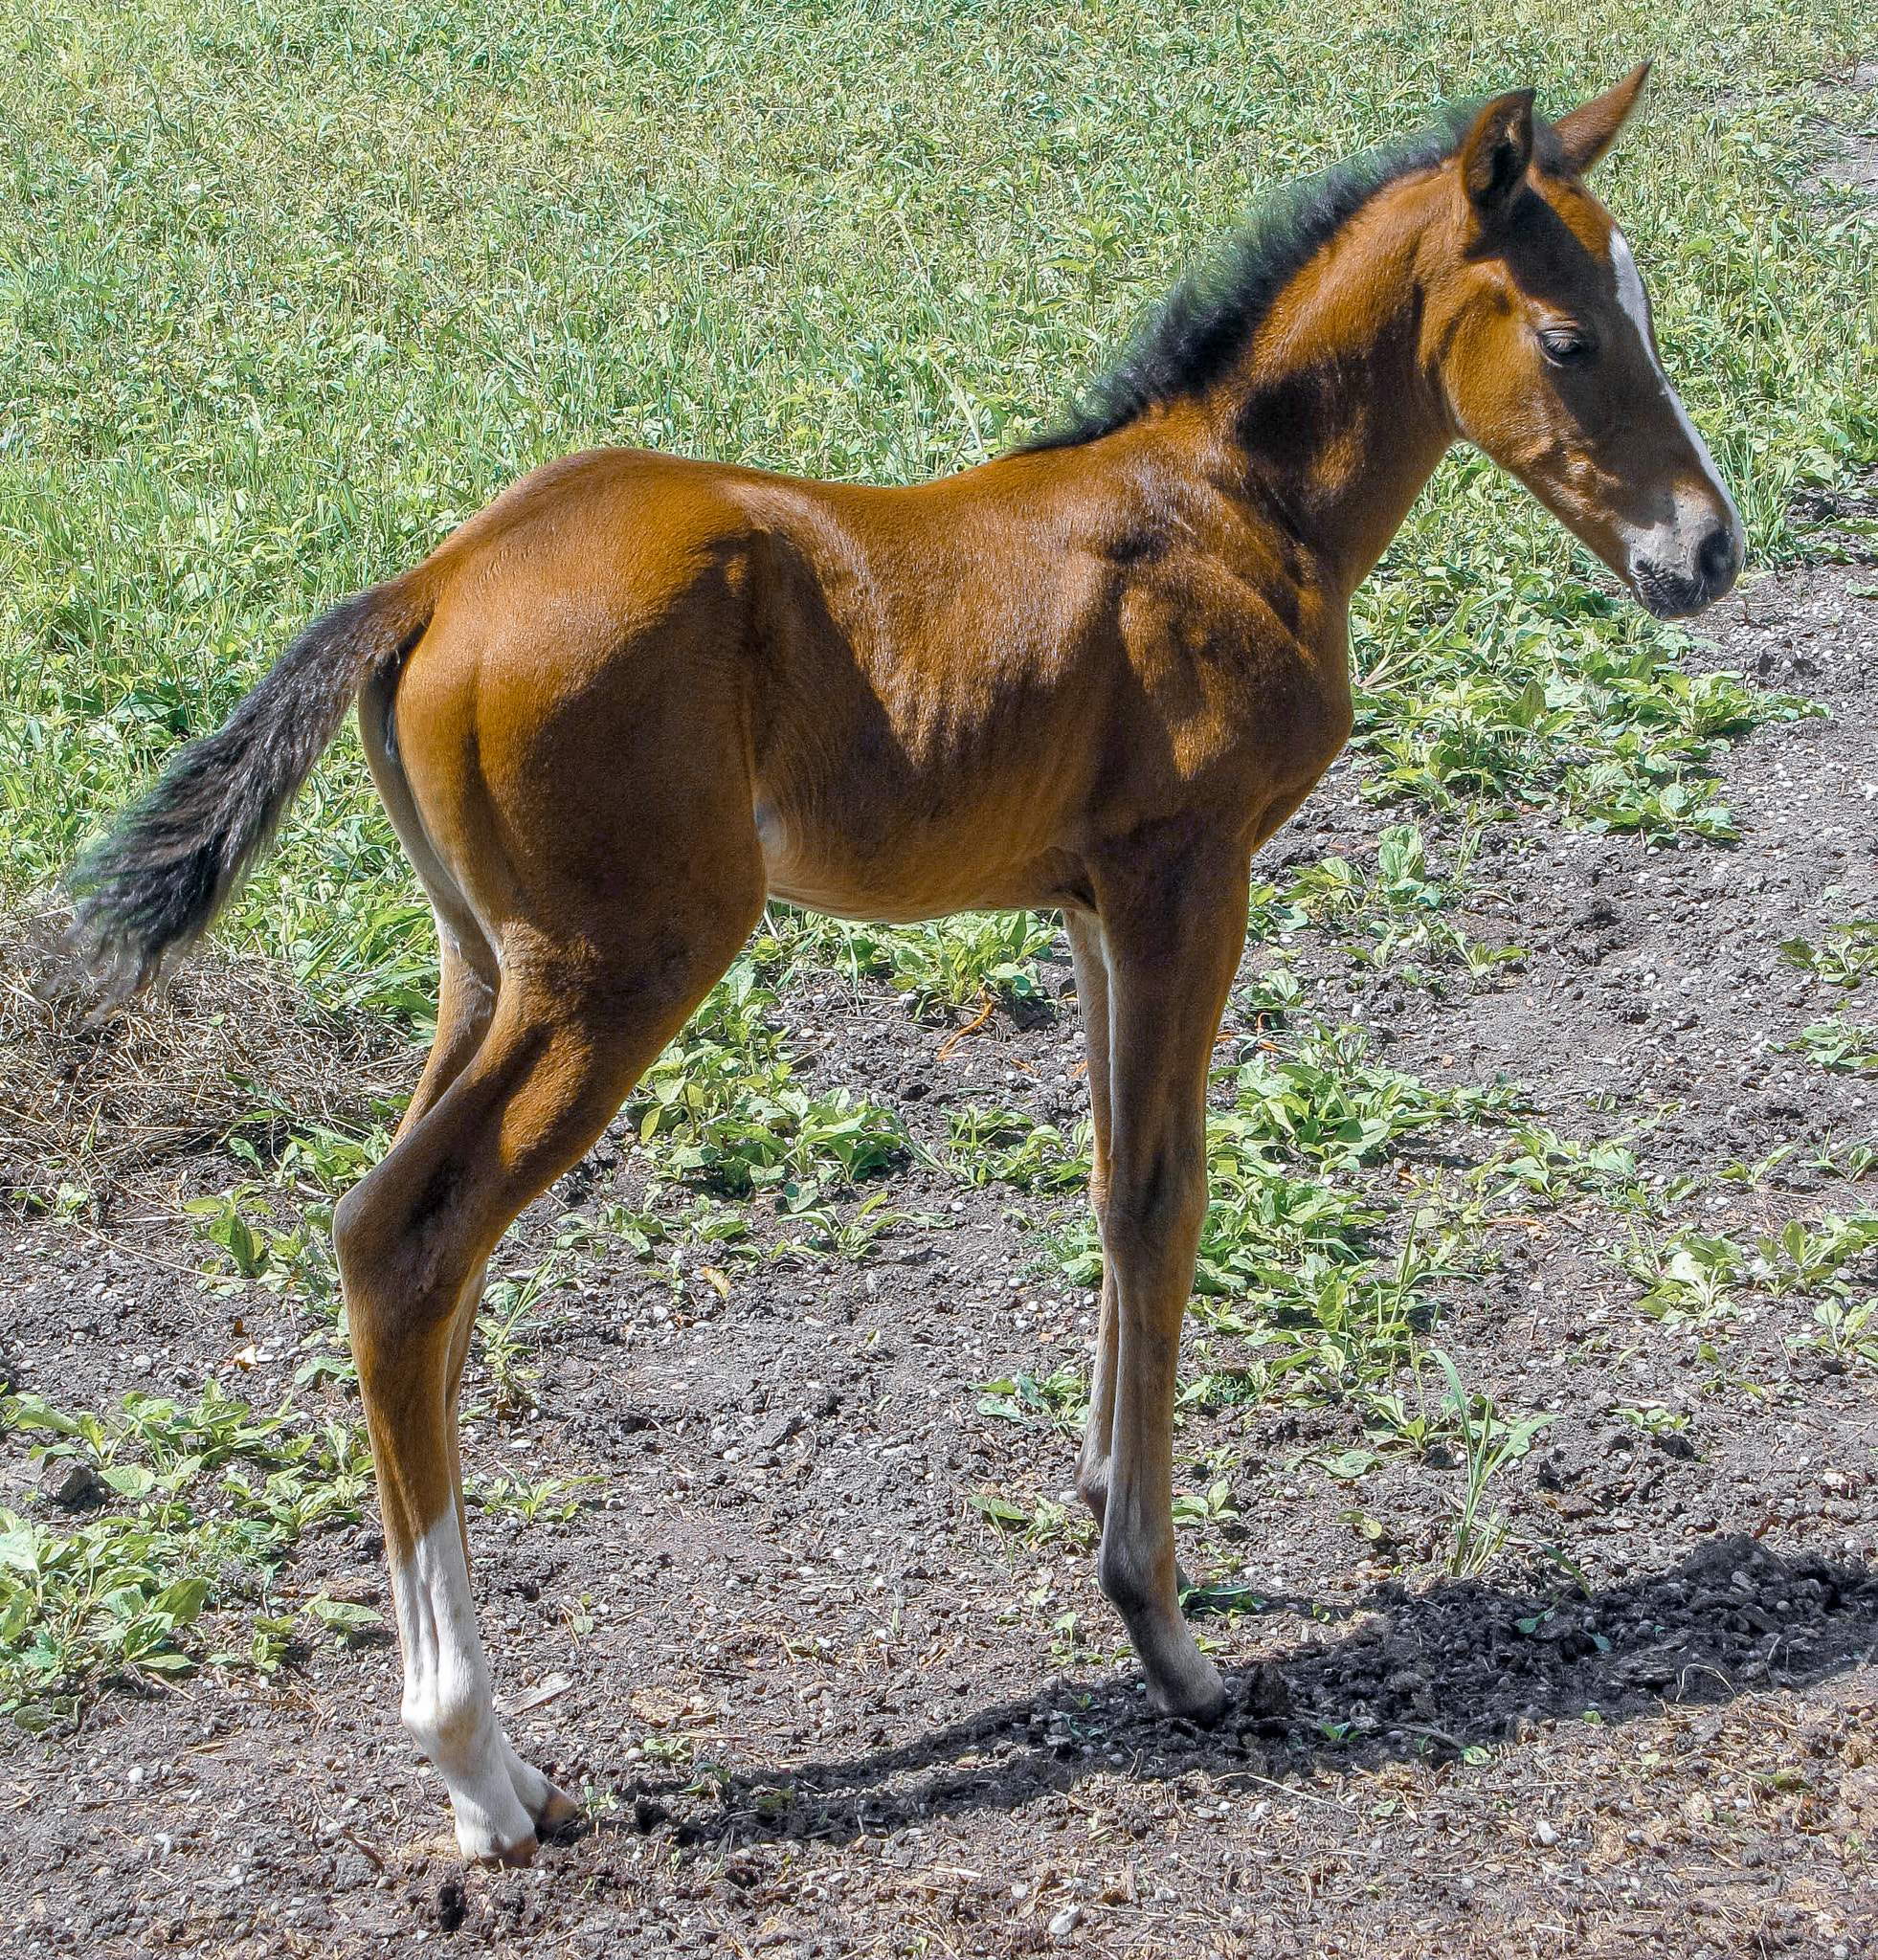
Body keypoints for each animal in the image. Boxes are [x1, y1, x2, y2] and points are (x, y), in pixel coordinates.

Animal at [73, 69, 1748, 1858]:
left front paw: (1100, 1491)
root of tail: (435, 578)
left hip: (487, 965)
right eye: (1570, 336)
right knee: (409, 1244)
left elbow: (1107, 1180)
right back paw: (473, 1763)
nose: (1706, 550)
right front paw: (1161, 1624)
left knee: (392, 1251)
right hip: (622, 963)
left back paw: (499, 1755)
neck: (1228, 505)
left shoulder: (1090, 902)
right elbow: (1164, 1200)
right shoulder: (1187, 870)